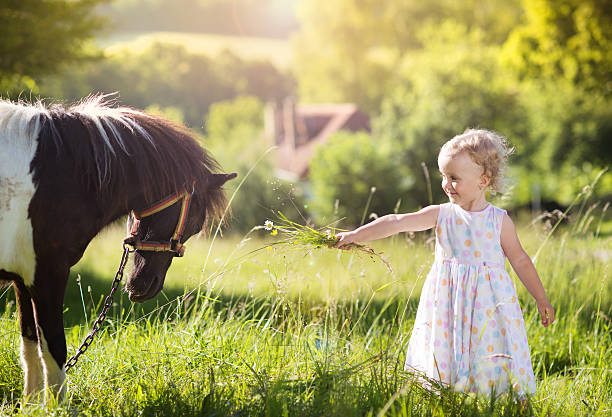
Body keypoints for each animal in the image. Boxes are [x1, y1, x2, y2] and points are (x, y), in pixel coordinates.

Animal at [0, 94, 237, 400]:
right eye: (195, 220)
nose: (141, 286)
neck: (64, 173)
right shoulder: (47, 275)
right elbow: (54, 354)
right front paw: (56, 405)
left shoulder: (23, 279)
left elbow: (30, 349)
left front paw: (32, 405)